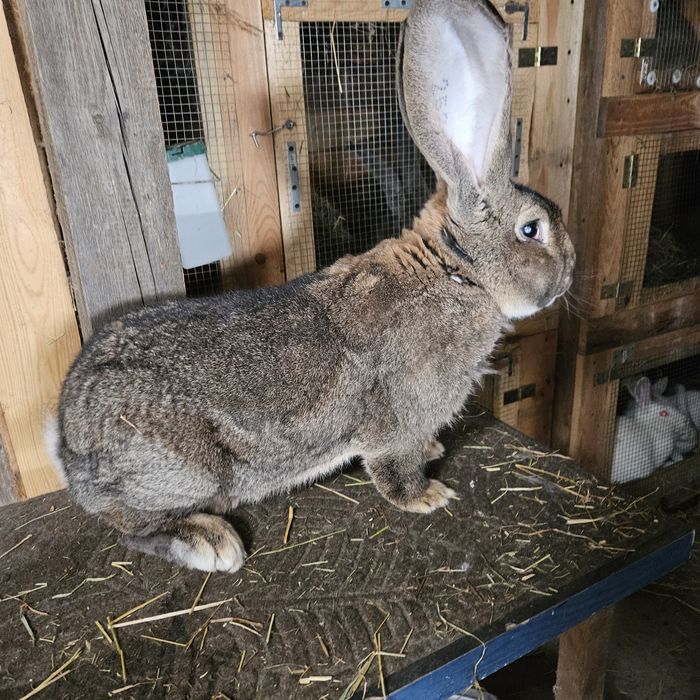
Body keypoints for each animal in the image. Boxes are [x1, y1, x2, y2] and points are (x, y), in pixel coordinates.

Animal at [47, 0, 575, 573]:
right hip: (183, 471)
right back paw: (211, 542)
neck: (456, 271)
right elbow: (393, 465)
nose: (570, 271)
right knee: (128, 526)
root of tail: (68, 447)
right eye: (531, 230)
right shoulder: (399, 419)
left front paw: (435, 454)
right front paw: (427, 496)